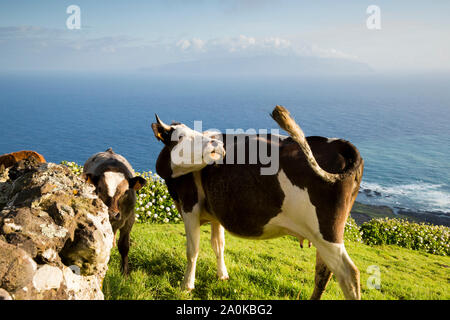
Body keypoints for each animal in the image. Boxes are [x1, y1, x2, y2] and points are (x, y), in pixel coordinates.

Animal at [82, 148, 146, 276]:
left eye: (126, 191)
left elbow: (124, 246)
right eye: (99, 188)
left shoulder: (129, 220)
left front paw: (125, 273)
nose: (112, 214)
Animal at [152, 107, 366, 300]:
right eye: (180, 137)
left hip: (327, 232)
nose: (217, 144)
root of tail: (340, 144)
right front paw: (223, 276)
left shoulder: (189, 206)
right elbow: (218, 245)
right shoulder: (215, 213)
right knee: (324, 272)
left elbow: (192, 250)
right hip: (322, 235)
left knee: (349, 274)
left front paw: (187, 285)